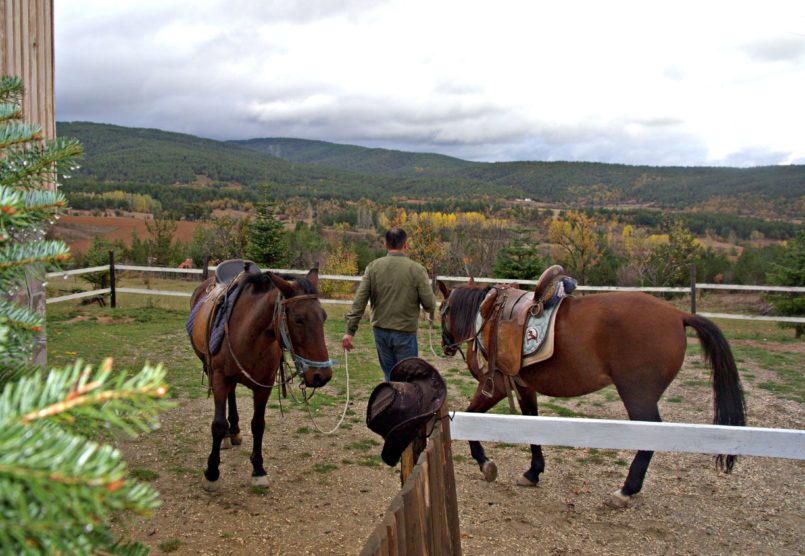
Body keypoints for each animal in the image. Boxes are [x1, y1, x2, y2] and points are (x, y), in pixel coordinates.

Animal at [188, 258, 332, 488]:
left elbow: (258, 425)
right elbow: (217, 425)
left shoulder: (264, 385)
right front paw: (211, 473)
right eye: (298, 319)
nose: (322, 375)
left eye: (323, 317)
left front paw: (258, 469)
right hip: (210, 369)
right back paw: (228, 435)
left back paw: (234, 431)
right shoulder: (219, 377)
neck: (248, 336)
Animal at [436, 268, 744, 506]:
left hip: (637, 395)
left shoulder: (497, 385)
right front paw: (533, 472)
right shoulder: (524, 387)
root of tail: (677, 314)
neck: (487, 316)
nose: (446, 346)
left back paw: (626, 490)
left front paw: (484, 462)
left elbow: (469, 418)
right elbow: (532, 423)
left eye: (442, 311)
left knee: (650, 435)